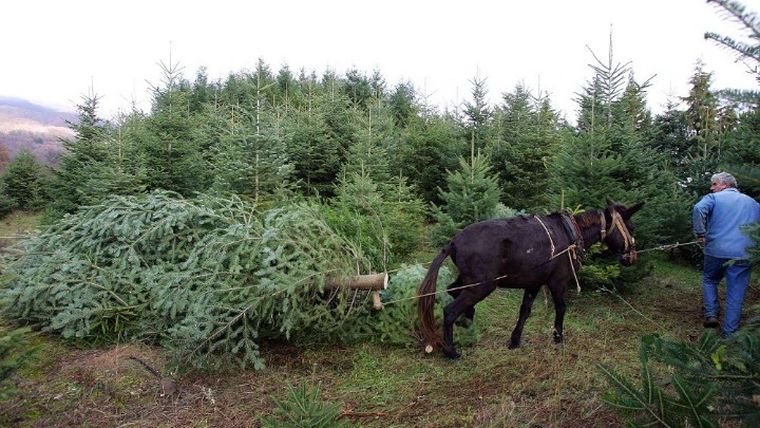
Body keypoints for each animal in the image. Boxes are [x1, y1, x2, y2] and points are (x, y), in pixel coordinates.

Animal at [416, 200, 640, 358]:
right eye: (631, 227)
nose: (632, 257)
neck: (570, 234)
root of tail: (453, 241)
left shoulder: (534, 283)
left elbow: (524, 311)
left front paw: (515, 341)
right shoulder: (558, 282)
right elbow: (561, 308)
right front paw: (558, 337)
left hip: (469, 282)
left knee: (451, 291)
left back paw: (467, 321)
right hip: (481, 287)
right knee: (450, 311)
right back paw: (451, 351)